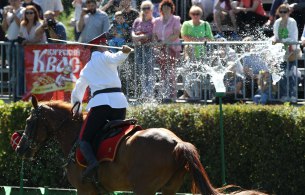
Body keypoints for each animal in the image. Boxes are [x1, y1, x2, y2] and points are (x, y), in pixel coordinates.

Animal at [14, 96, 266, 195]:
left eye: (28, 122)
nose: (20, 149)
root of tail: (177, 143)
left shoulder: (85, 189)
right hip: (168, 189)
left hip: (144, 188)